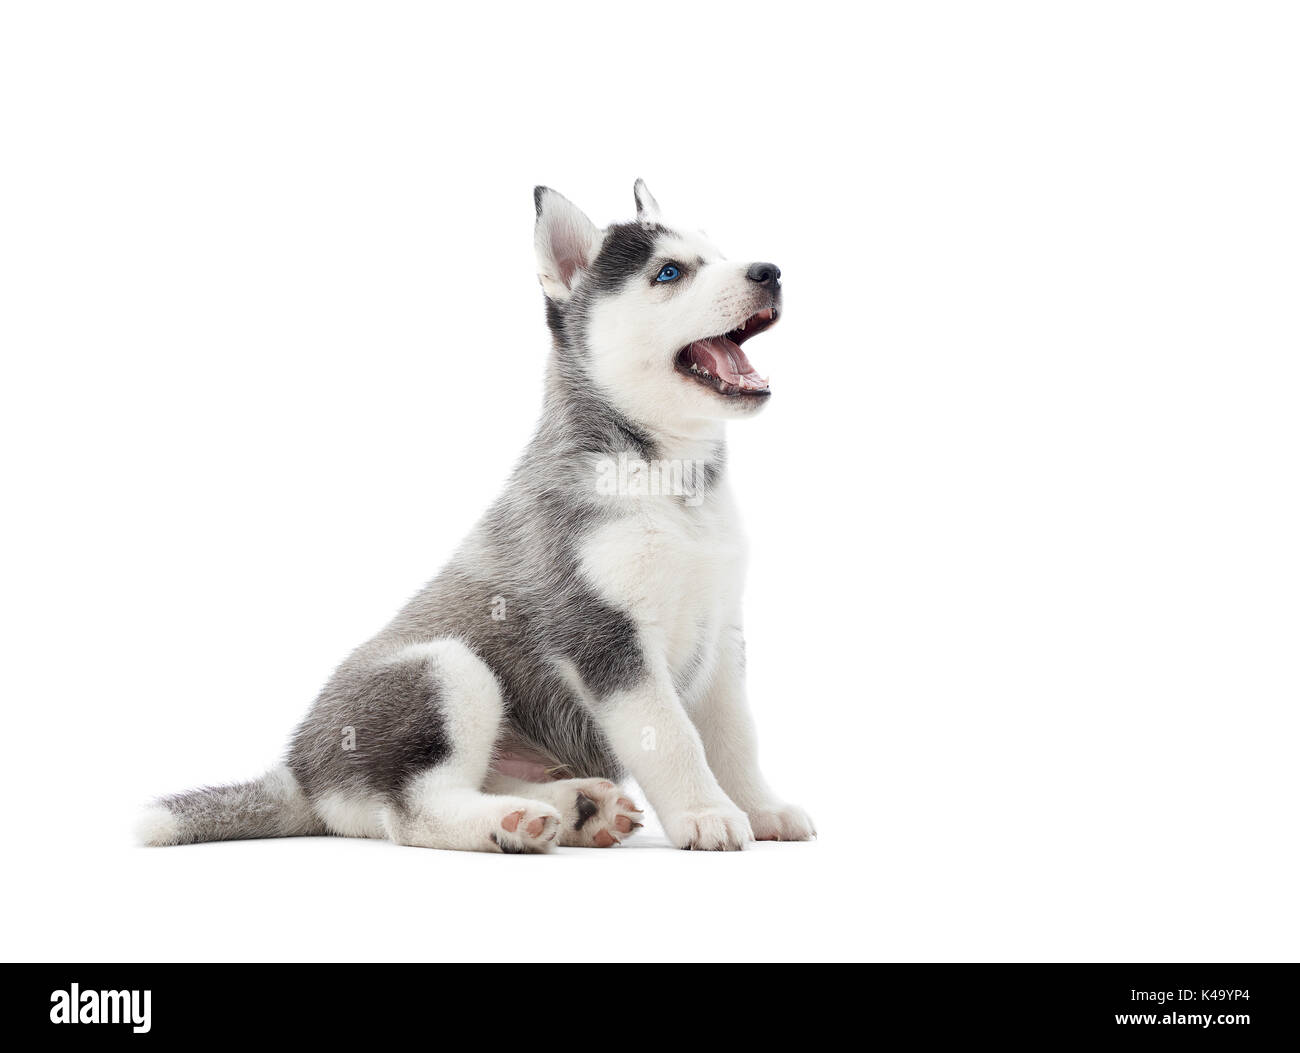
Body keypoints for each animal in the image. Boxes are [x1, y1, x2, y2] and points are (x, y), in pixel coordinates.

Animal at [142, 180, 811, 847]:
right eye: (669, 272)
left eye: (718, 252)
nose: (770, 271)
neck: (673, 485)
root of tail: (300, 776)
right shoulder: (605, 637)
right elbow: (673, 738)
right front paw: (706, 814)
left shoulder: (720, 632)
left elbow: (735, 737)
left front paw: (760, 808)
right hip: (448, 667)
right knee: (410, 812)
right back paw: (511, 823)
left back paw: (579, 808)